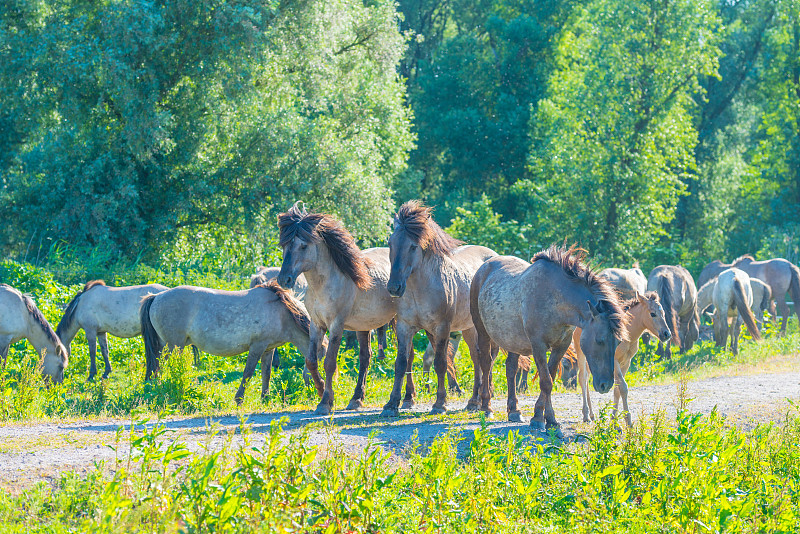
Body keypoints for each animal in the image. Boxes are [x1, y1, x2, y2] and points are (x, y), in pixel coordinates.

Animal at [139, 282, 324, 404]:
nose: (321, 389)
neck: (281, 312)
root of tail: (156, 297)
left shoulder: (268, 349)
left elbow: (266, 373)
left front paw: (265, 398)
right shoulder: (256, 347)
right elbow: (248, 373)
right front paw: (239, 399)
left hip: (165, 346)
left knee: (156, 368)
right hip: (174, 346)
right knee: (161, 368)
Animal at [276, 203, 398, 416]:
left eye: (303, 245)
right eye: (284, 245)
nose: (284, 279)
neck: (325, 284)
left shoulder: (336, 326)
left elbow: (329, 362)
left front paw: (326, 402)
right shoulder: (316, 325)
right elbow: (311, 361)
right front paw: (320, 389)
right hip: (363, 327)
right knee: (365, 357)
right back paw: (356, 399)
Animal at [380, 201, 494, 418]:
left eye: (413, 246)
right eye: (390, 244)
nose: (394, 287)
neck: (419, 288)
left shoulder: (442, 329)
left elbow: (440, 363)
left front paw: (440, 403)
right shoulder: (404, 327)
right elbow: (401, 363)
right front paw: (392, 404)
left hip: (476, 329)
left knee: (483, 358)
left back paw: (481, 400)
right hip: (468, 329)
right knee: (476, 358)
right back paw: (473, 401)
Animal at [468, 247, 624, 436]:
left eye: (617, 343)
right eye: (600, 340)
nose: (605, 385)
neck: (554, 299)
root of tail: (484, 267)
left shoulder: (561, 346)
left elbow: (549, 378)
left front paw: (542, 417)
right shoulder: (538, 346)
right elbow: (546, 382)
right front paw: (547, 420)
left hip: (513, 340)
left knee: (511, 369)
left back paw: (514, 410)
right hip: (483, 332)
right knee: (486, 364)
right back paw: (486, 407)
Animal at [572, 294, 672, 428]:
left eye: (663, 313)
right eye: (652, 314)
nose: (667, 334)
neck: (627, 335)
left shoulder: (626, 362)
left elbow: (617, 390)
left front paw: (614, 421)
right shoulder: (614, 362)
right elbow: (623, 387)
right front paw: (627, 421)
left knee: (587, 377)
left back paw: (592, 415)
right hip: (581, 354)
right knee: (582, 378)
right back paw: (586, 415)